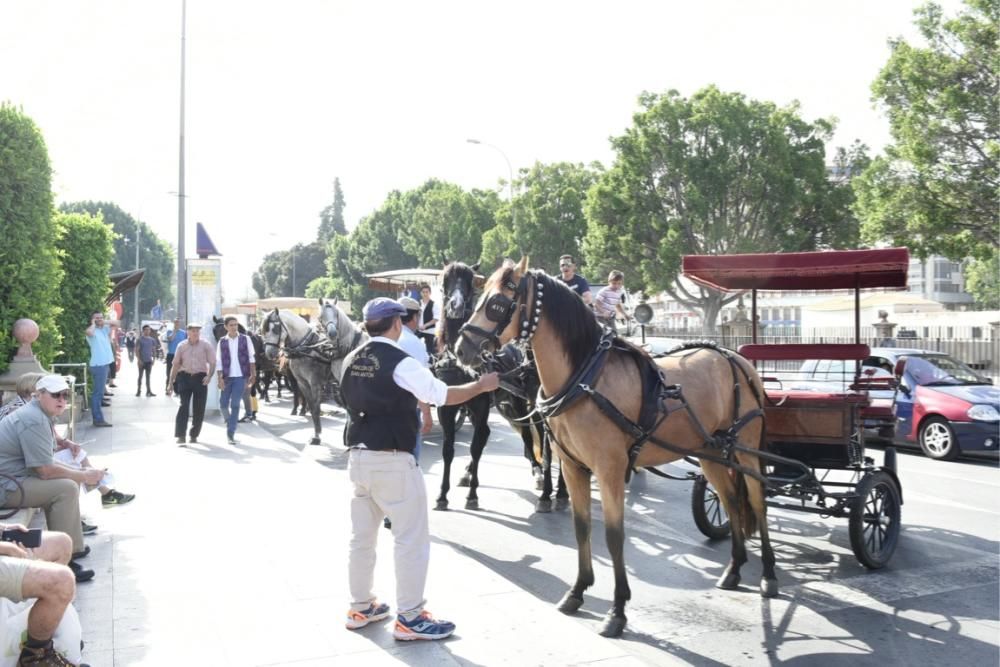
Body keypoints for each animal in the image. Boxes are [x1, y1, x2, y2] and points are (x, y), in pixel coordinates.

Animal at [458, 258, 776, 640]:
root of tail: (735, 358)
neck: (584, 378)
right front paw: (578, 590)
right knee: (730, 499)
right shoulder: (572, 467)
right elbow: (581, 527)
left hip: (746, 448)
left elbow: (613, 535)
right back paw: (734, 568)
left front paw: (618, 609)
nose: (460, 349)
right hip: (710, 450)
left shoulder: (609, 470)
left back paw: (768, 575)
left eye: (496, 304)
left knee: (756, 501)